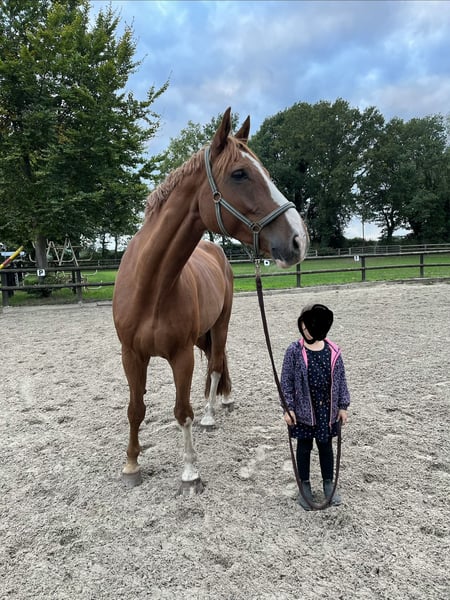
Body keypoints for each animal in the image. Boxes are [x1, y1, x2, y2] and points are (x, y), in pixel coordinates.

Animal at [112, 107, 309, 493]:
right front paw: (130, 465)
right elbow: (135, 408)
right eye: (240, 173)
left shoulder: (181, 356)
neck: (151, 287)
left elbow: (182, 411)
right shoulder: (131, 355)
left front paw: (190, 472)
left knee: (217, 363)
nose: (299, 239)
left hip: (221, 323)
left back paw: (212, 414)